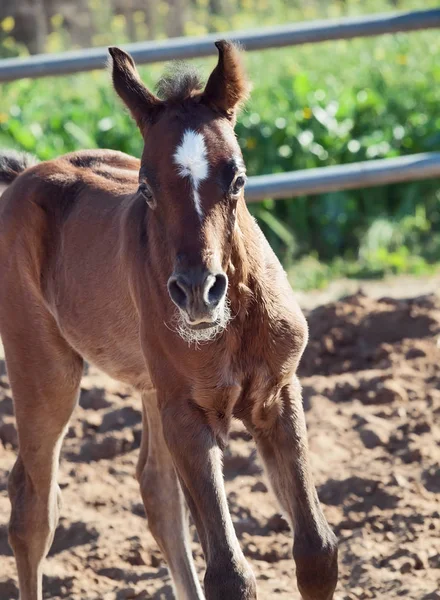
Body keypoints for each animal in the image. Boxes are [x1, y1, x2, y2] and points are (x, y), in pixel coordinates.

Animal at [0, 43, 336, 600]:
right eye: (147, 189)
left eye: (238, 179)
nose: (198, 292)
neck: (232, 324)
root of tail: (24, 173)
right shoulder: (188, 414)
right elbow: (229, 574)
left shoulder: (278, 395)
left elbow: (316, 551)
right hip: (45, 371)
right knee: (33, 506)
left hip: (150, 386)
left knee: (156, 493)